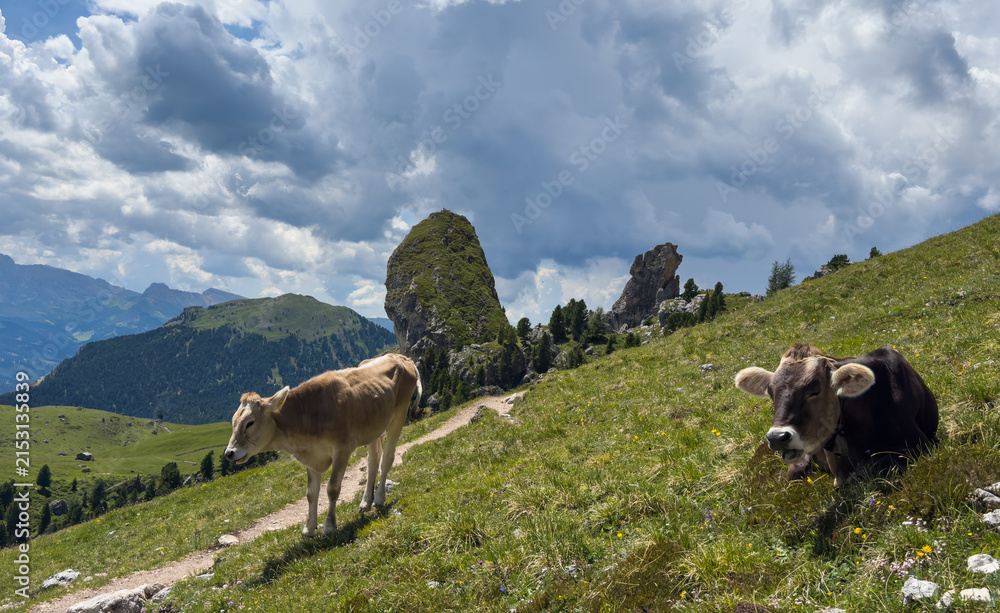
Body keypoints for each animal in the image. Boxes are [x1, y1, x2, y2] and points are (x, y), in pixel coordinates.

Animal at [224, 353, 422, 537]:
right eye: (233, 422)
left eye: (250, 423)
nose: (229, 453)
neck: (310, 413)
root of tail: (400, 357)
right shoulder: (312, 456)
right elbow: (311, 494)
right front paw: (309, 528)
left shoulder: (342, 449)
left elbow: (332, 488)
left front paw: (329, 526)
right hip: (374, 425)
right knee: (373, 460)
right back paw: (366, 502)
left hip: (399, 414)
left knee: (387, 458)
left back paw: (379, 498)